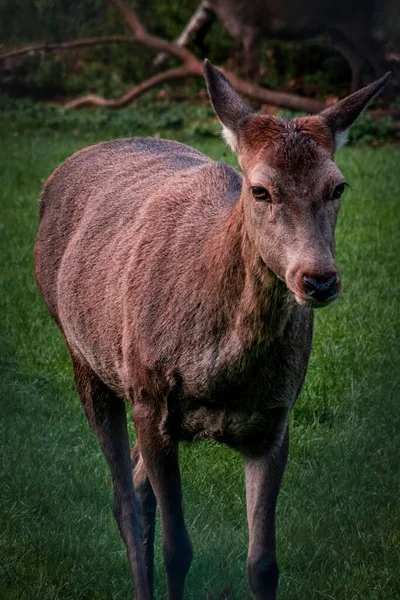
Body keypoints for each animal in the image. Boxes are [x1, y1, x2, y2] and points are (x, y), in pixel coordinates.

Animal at [35, 62, 390, 600]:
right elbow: (177, 548)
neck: (222, 372)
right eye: (260, 189)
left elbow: (263, 563)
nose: (319, 279)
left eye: (338, 187)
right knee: (125, 500)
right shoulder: (150, 397)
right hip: (86, 355)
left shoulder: (276, 418)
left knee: (135, 485)